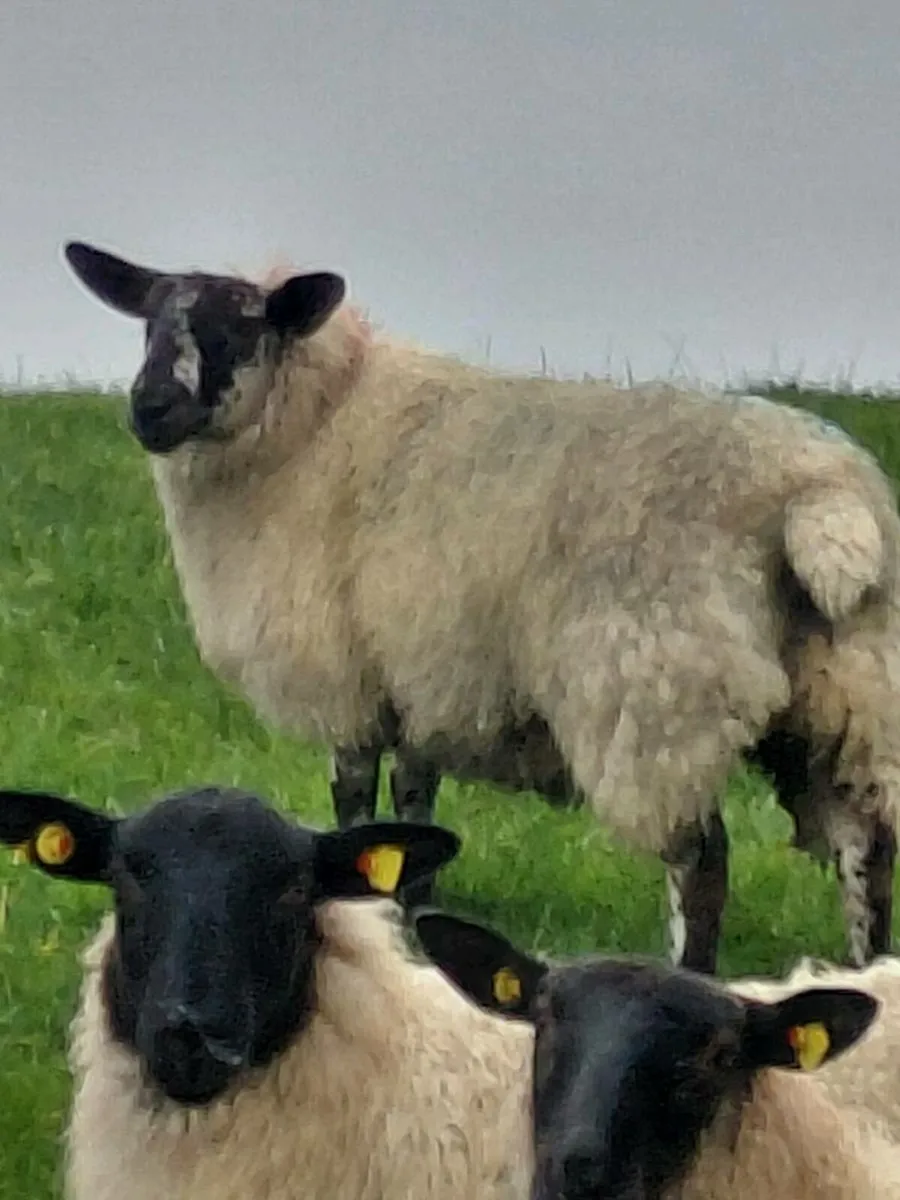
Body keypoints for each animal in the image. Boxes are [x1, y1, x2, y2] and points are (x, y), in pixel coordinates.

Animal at [62, 238, 900, 973]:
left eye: (236, 329)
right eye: (149, 325)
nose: (149, 407)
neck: (316, 425)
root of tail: (817, 499)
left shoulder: (349, 679)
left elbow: (356, 800)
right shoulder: (424, 674)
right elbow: (414, 804)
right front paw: (410, 913)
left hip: (657, 689)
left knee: (702, 862)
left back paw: (696, 972)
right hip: (849, 691)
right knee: (867, 842)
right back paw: (868, 971)